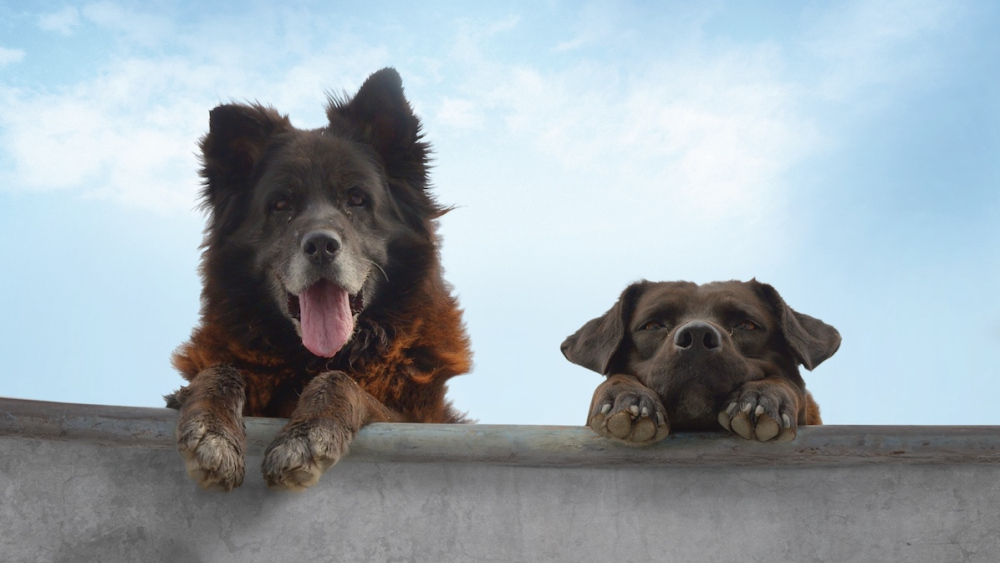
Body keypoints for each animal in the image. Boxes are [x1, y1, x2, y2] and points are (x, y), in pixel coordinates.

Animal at [167, 69, 472, 494]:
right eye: (281, 204)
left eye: (357, 199)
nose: (322, 246)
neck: (311, 357)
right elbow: (217, 372)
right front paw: (213, 432)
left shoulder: (417, 419)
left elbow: (344, 383)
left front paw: (307, 435)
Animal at [564, 280, 836, 446]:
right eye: (652, 325)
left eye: (746, 325)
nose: (696, 336)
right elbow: (615, 381)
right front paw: (627, 397)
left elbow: (785, 383)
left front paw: (764, 397)